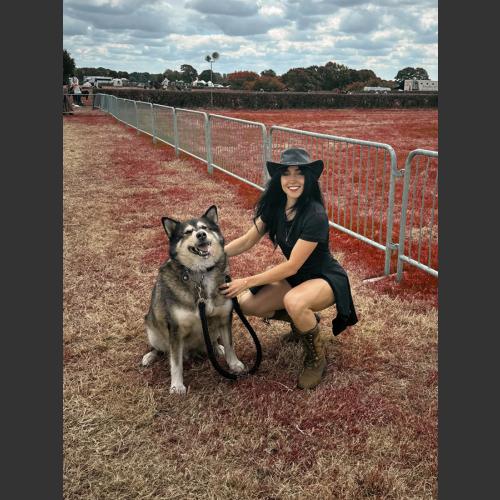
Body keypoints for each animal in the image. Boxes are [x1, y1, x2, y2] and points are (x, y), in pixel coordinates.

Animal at [141, 205, 244, 392]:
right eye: (187, 232)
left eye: (204, 228)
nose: (201, 235)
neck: (201, 273)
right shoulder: (175, 328)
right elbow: (175, 362)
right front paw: (176, 386)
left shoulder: (224, 318)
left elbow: (230, 344)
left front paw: (234, 364)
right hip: (153, 330)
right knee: (160, 349)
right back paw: (149, 356)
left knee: (213, 341)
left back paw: (217, 348)